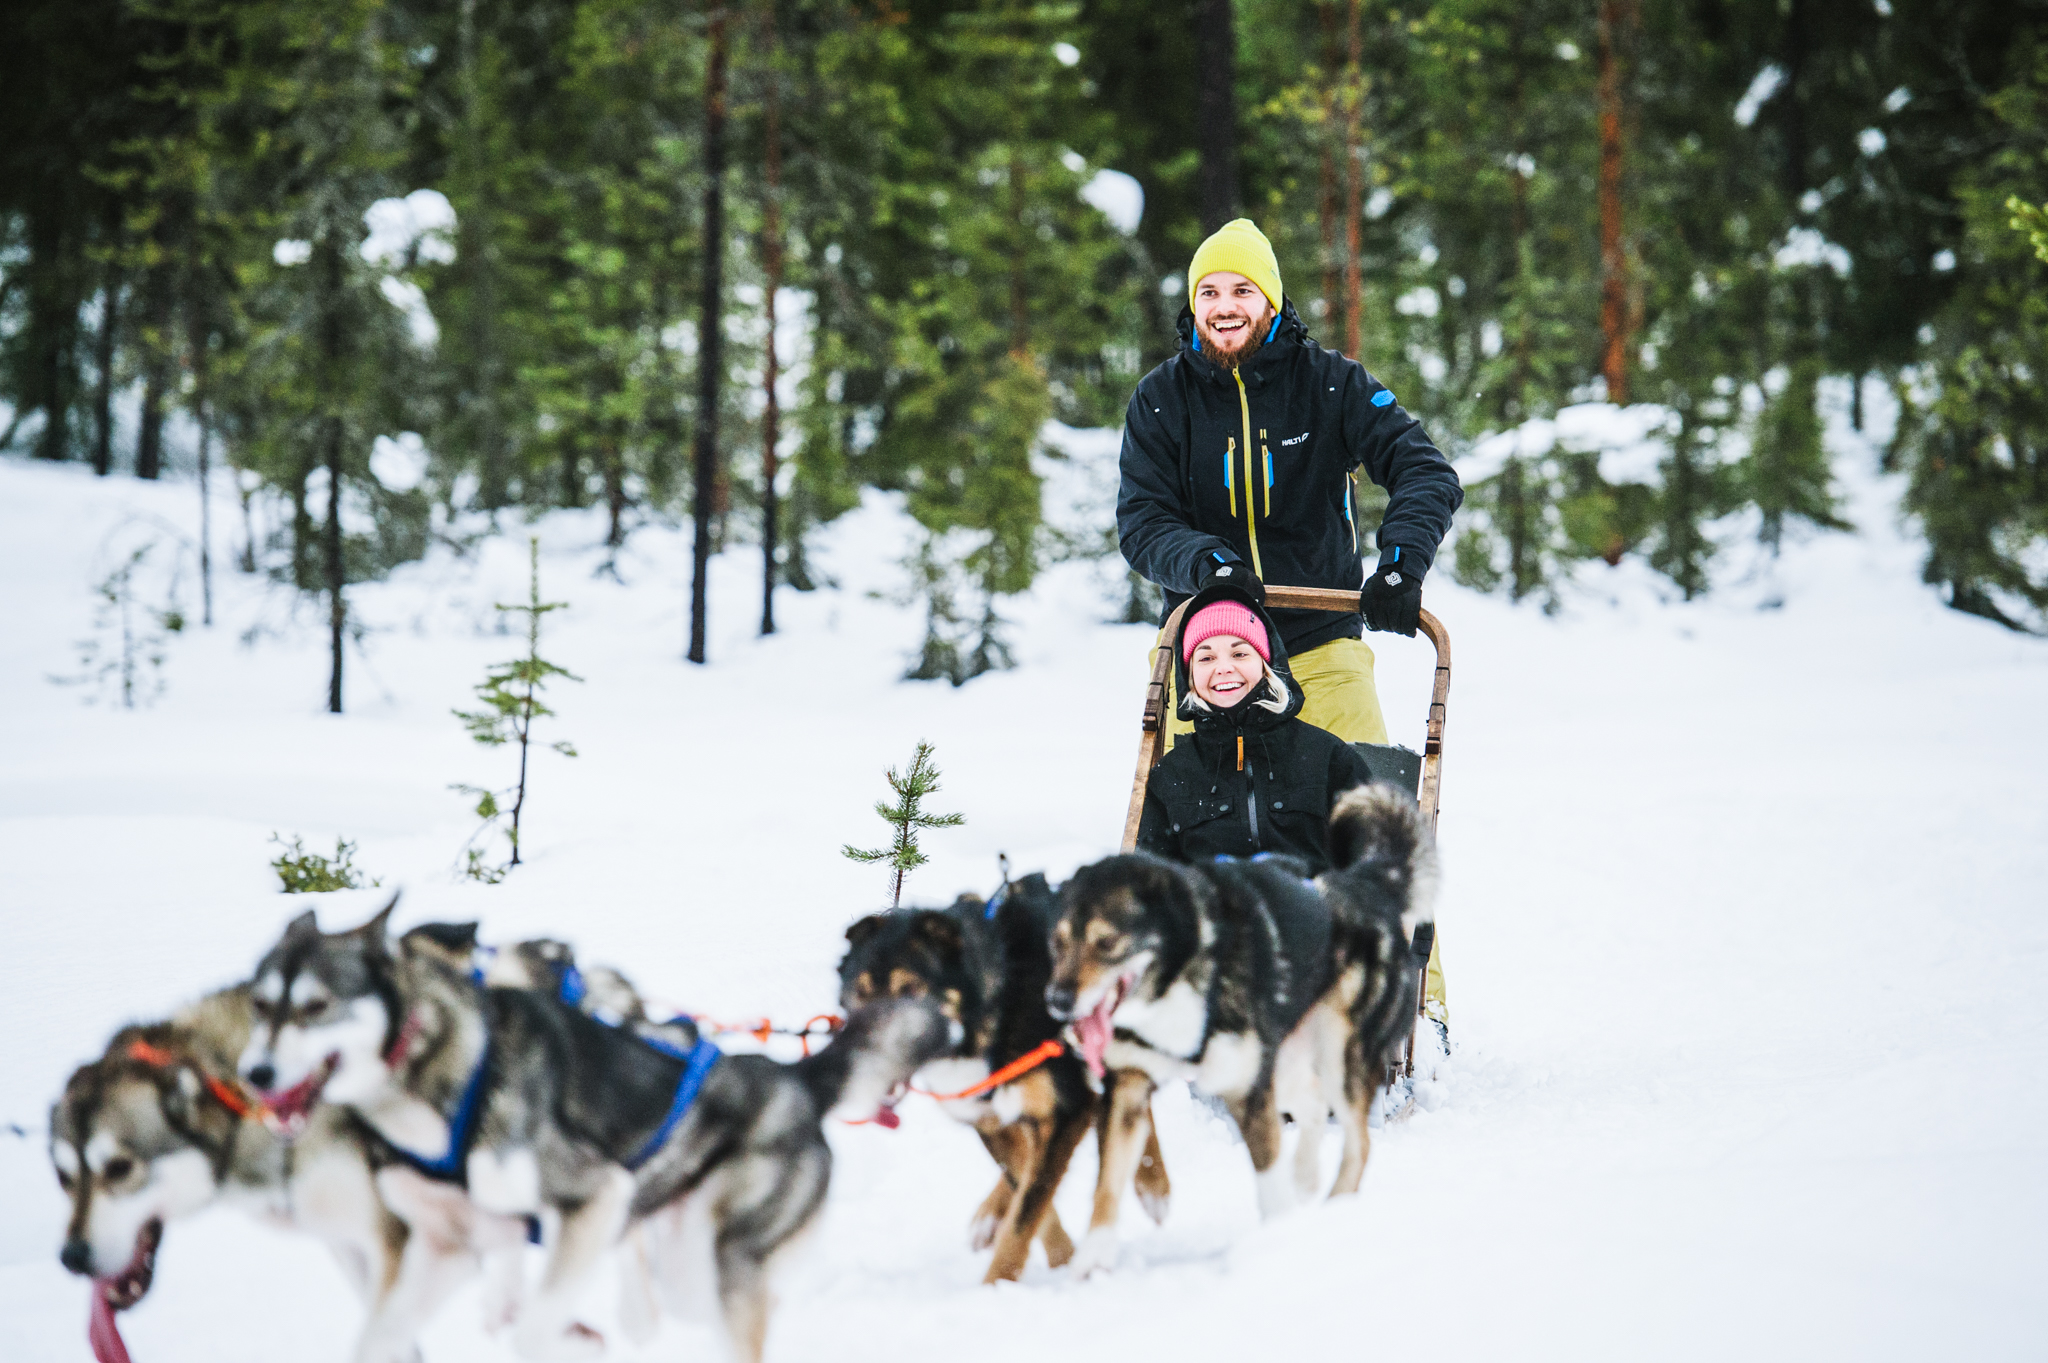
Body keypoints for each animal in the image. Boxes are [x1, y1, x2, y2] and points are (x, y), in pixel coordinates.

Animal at [237, 900, 950, 1358]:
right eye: (259, 1006)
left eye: (315, 1007)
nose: (256, 1073)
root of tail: (796, 1079)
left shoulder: (596, 1197)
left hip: (707, 1261)